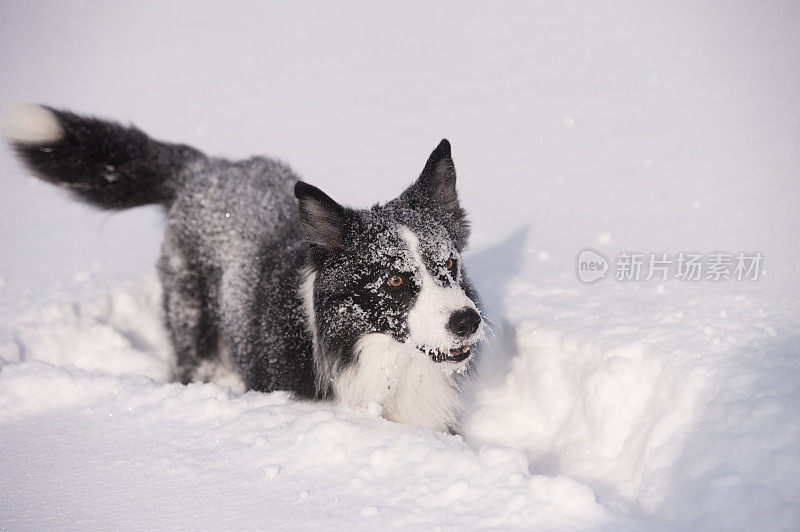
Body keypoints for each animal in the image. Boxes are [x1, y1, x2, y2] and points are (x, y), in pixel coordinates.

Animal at [3, 105, 484, 432]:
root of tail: (205, 167)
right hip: (191, 319)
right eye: (396, 280)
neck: (382, 361)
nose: (468, 321)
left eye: (449, 263)